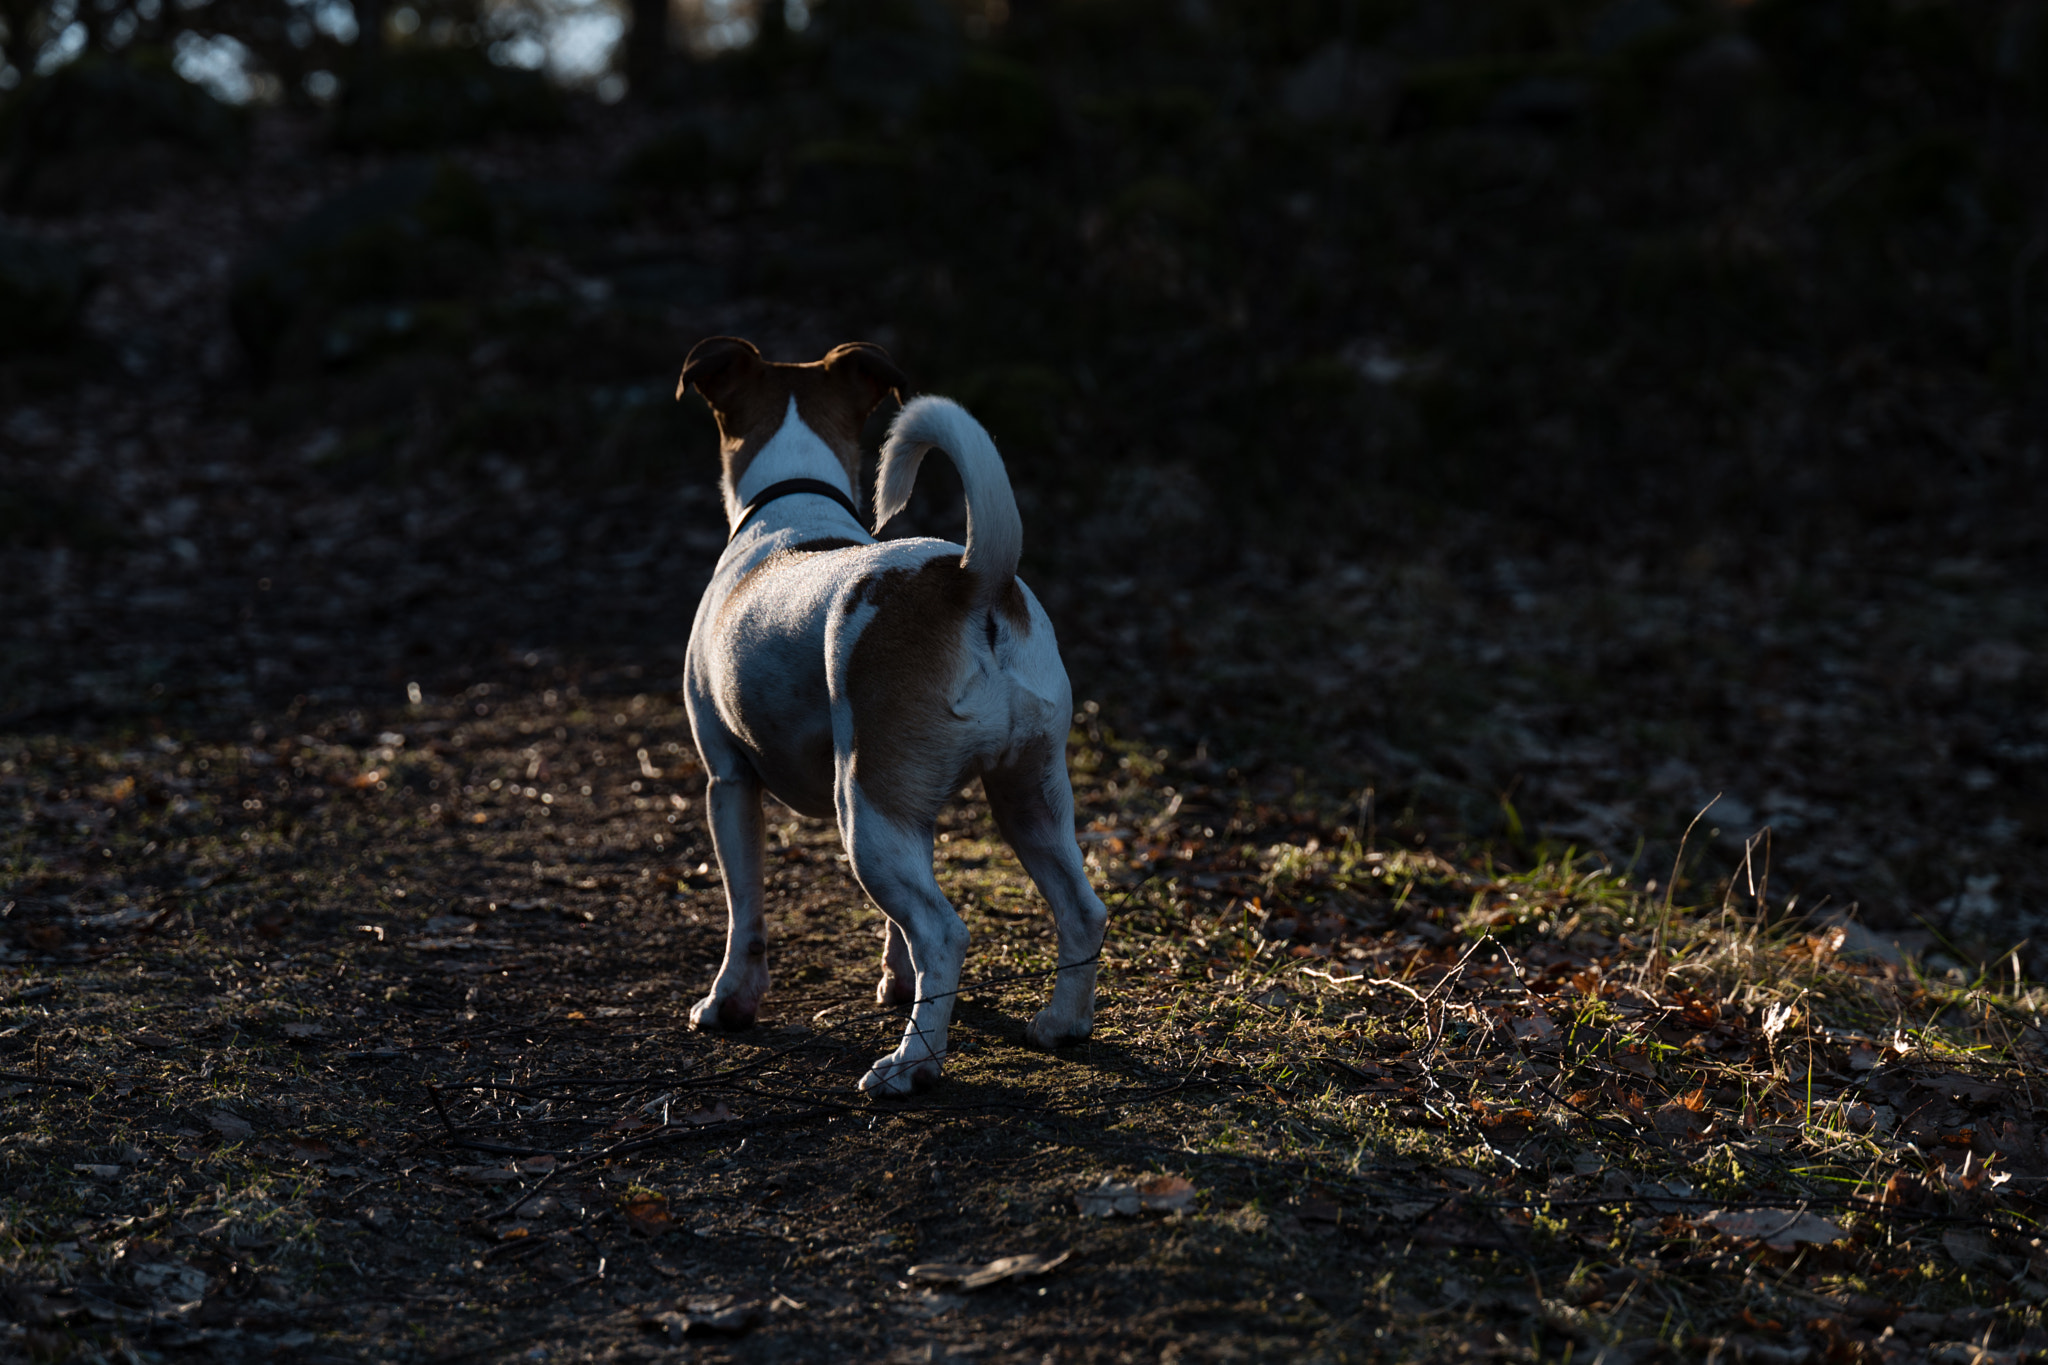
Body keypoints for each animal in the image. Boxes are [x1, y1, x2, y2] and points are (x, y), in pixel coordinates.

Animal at [675, 335, 1105, 1096]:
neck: (793, 504)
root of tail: (972, 580)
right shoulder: (916, 814)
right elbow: (896, 932)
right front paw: (899, 984)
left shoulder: (728, 782)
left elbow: (744, 912)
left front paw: (729, 1003)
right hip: (1023, 797)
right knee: (1078, 912)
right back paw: (1061, 1023)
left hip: (865, 814)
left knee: (944, 932)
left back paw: (911, 1065)